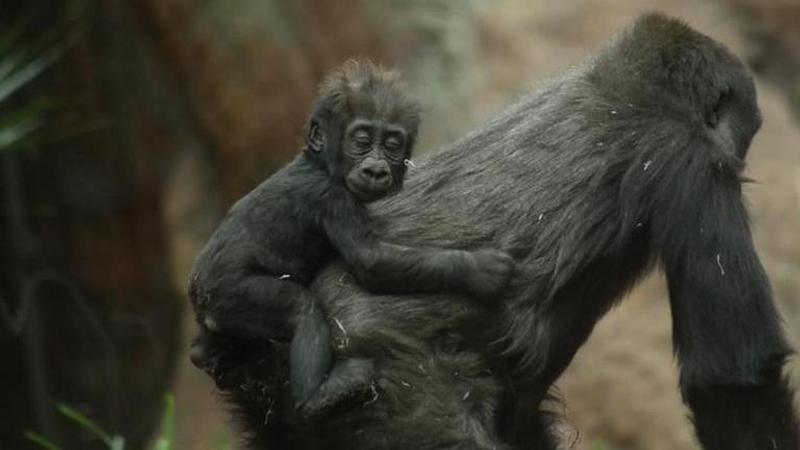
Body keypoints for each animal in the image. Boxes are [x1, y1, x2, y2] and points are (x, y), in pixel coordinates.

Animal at [188, 59, 512, 414]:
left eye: (392, 145)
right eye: (362, 141)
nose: (375, 170)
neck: (318, 163)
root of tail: (198, 293)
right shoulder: (332, 197)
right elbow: (371, 260)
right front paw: (479, 268)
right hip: (228, 293)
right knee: (301, 309)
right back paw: (317, 395)